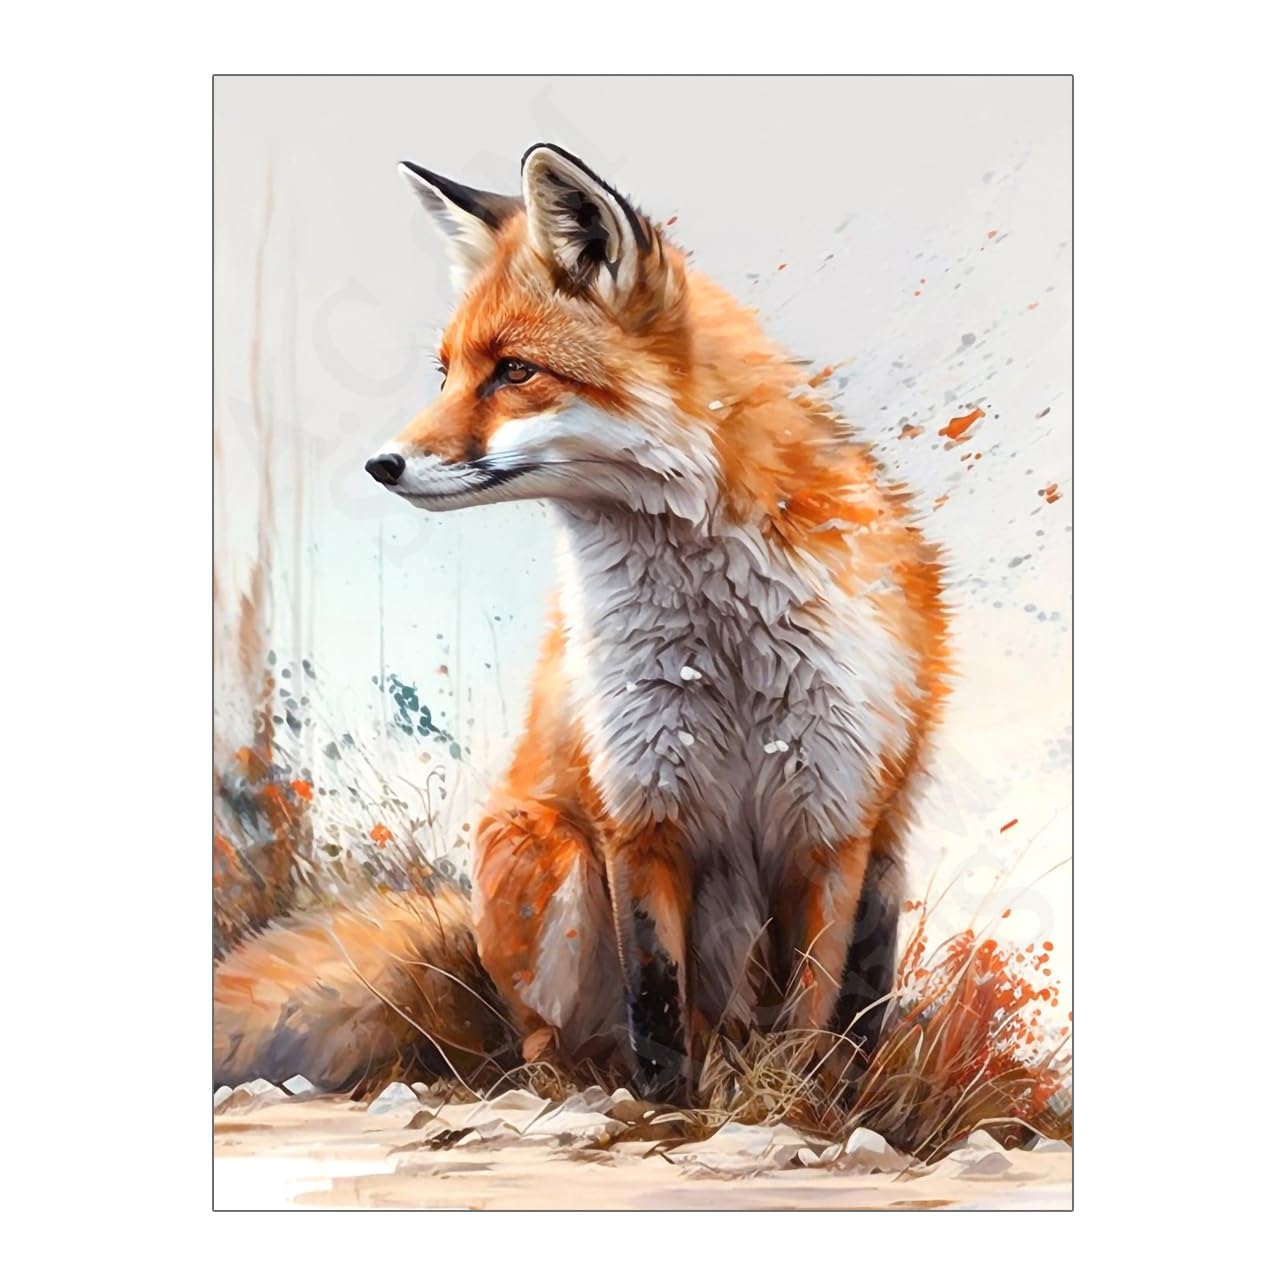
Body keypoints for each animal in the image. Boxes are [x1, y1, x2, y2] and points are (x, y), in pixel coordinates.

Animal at [215, 144, 949, 1101]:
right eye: (445, 373)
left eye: (513, 371)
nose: (382, 464)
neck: (722, 646)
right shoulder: (638, 803)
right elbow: (658, 999)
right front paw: (671, 1109)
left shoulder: (834, 818)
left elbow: (810, 1010)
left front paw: (800, 1103)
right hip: (551, 855)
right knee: (545, 1042)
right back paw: (583, 1084)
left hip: (885, 867)